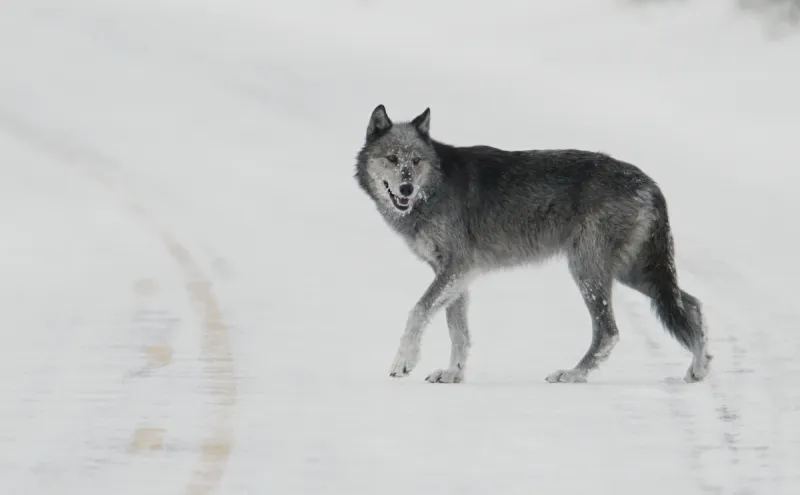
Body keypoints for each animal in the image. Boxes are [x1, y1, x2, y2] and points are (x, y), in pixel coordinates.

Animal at [354, 104, 712, 384]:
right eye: (392, 158)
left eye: (415, 161)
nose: (406, 189)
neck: (435, 187)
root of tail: (651, 183)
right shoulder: (455, 274)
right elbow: (458, 330)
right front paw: (453, 374)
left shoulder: (457, 268)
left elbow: (417, 311)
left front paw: (404, 362)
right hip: (632, 273)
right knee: (692, 304)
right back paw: (699, 368)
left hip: (589, 271)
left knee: (609, 332)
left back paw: (572, 374)